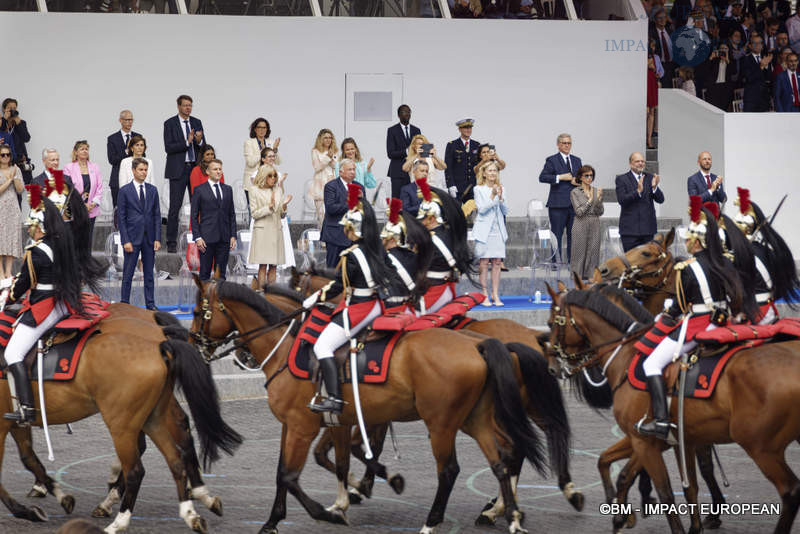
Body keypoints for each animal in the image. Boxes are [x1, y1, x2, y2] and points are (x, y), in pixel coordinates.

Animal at [0, 312, 242, 532]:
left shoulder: (3, 425)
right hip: (153, 418)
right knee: (175, 458)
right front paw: (59, 496)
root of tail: (158, 342)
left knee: (136, 469)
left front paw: (28, 510)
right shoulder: (15, 423)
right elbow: (29, 458)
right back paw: (192, 512)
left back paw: (118, 520)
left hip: (122, 425)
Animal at [191, 278, 560, 532]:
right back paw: (508, 515)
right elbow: (319, 465)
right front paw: (280, 519)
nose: (195, 343)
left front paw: (330, 510)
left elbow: (291, 475)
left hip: (443, 424)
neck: (288, 347)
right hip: (475, 419)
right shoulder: (320, 424)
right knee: (501, 460)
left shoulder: (303, 426)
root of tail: (480, 344)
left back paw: (437, 521)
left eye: (197, 311)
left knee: (453, 469)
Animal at [548, 286, 800, 532]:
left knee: (790, 491)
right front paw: (620, 513)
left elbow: (665, 492)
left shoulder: (644, 441)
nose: (551, 367)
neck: (627, 356)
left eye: (551, 323)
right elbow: (620, 468)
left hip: (761, 448)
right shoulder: (672, 441)